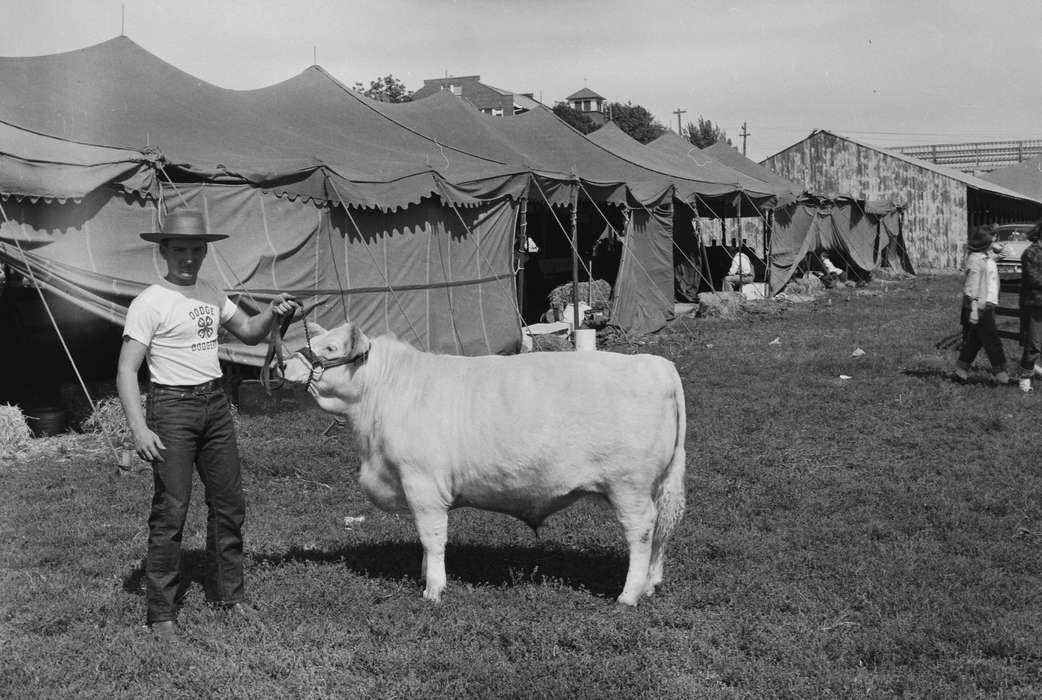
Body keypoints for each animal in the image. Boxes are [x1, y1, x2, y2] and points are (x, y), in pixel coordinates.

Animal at [279, 322, 687, 606]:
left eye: (330, 347)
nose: (283, 363)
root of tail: (656, 364)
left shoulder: (423, 483)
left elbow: (432, 537)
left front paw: (433, 589)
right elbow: (425, 539)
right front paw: (425, 576)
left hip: (629, 485)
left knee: (642, 532)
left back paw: (629, 594)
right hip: (655, 484)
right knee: (661, 531)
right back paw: (650, 585)